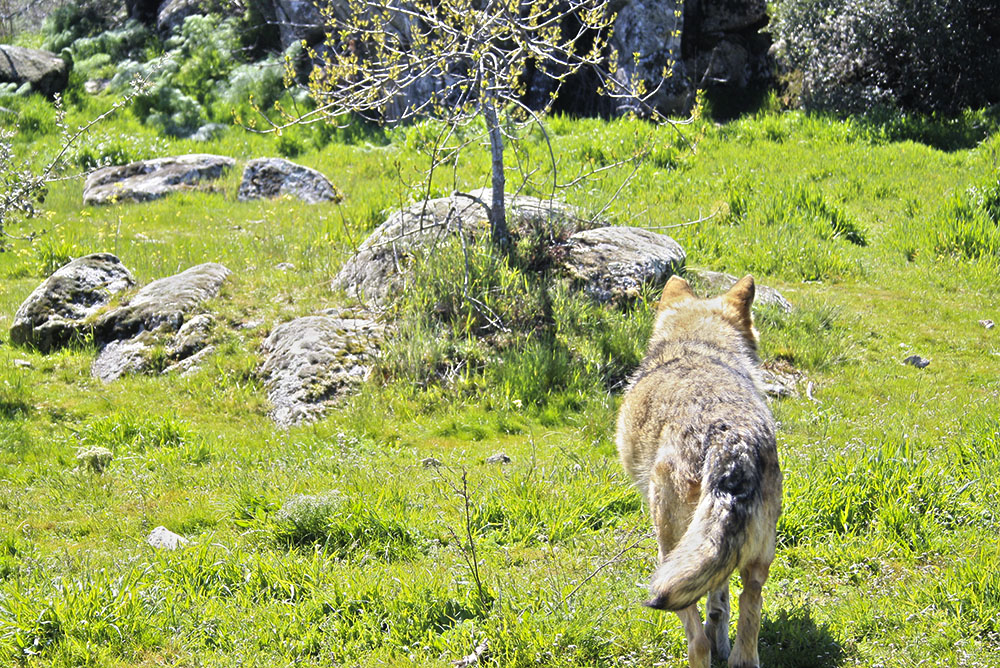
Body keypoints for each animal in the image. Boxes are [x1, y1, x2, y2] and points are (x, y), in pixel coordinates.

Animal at [616, 274, 782, 668]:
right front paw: (721, 637)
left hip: (667, 554)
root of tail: (731, 443)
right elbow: (719, 603)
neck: (698, 345)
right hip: (754, 564)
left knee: (696, 642)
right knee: (746, 622)